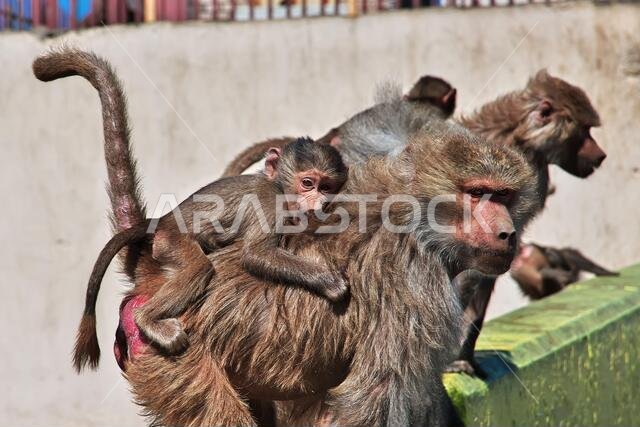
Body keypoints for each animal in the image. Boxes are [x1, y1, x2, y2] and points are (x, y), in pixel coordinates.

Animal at [32, 49, 349, 371]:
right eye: (308, 183)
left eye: (327, 187)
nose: (320, 203)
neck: (279, 189)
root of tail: (162, 222)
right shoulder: (268, 204)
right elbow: (256, 254)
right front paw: (327, 281)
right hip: (171, 242)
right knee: (198, 267)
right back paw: (148, 319)